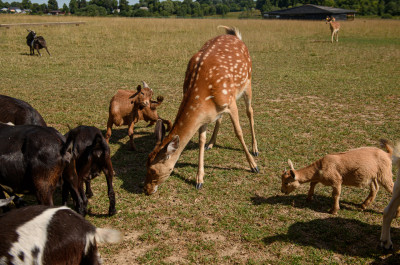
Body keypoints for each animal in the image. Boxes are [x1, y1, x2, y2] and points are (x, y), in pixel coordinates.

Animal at [144, 25, 260, 194]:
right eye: (145, 163)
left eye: (153, 170)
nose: (146, 189)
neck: (202, 93)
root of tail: (235, 36)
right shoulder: (205, 115)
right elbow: (201, 140)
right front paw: (199, 180)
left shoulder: (230, 102)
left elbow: (238, 132)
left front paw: (254, 166)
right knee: (220, 118)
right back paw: (211, 143)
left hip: (248, 82)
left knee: (250, 111)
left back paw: (255, 149)